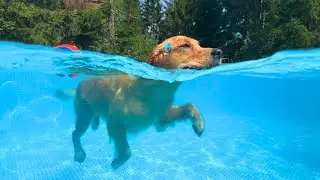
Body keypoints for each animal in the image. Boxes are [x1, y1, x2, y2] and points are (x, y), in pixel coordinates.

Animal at [66, 35, 224, 170]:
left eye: (199, 44)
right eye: (185, 45)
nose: (219, 52)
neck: (156, 89)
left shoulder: (161, 117)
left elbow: (190, 105)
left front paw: (199, 124)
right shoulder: (115, 122)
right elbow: (126, 151)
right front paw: (116, 163)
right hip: (84, 115)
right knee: (75, 133)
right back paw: (79, 154)